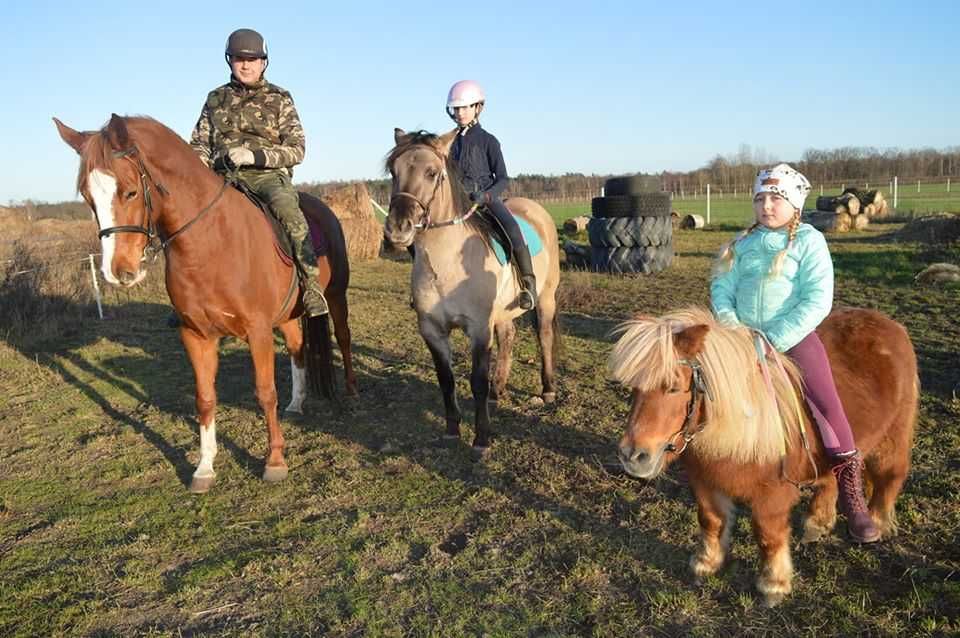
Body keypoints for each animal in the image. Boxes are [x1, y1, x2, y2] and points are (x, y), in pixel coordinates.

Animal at [55, 115, 356, 496]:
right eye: (87, 196)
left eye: (130, 191)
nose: (118, 272)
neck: (210, 243)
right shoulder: (195, 335)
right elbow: (205, 399)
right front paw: (204, 467)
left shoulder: (257, 332)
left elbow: (265, 392)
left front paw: (274, 461)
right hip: (287, 316)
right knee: (297, 350)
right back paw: (297, 402)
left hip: (337, 297)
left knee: (343, 338)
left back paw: (351, 391)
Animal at [384, 129, 564, 450]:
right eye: (394, 171)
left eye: (432, 173)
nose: (397, 230)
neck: (447, 264)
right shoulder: (431, 330)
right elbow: (446, 380)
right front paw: (452, 429)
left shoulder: (479, 329)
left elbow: (477, 381)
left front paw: (481, 437)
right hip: (503, 311)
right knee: (508, 336)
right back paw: (498, 390)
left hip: (545, 298)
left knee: (544, 337)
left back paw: (547, 390)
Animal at [608, 308, 916, 608]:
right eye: (634, 387)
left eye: (673, 386)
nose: (632, 455)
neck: (744, 423)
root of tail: (890, 325)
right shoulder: (704, 480)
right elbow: (710, 520)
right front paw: (706, 563)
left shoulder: (772, 495)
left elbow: (768, 536)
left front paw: (773, 585)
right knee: (831, 478)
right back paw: (817, 523)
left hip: (892, 439)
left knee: (888, 479)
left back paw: (874, 524)